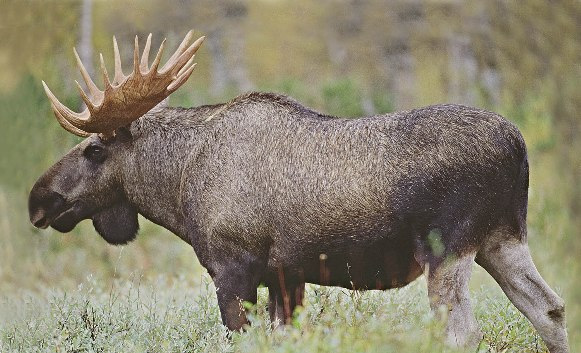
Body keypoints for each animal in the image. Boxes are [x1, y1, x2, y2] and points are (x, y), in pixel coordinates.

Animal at [29, 31, 568, 350]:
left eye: (94, 149)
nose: (40, 199)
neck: (178, 187)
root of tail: (518, 146)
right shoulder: (285, 277)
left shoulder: (235, 269)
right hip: (501, 239)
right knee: (550, 309)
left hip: (449, 247)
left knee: (464, 332)